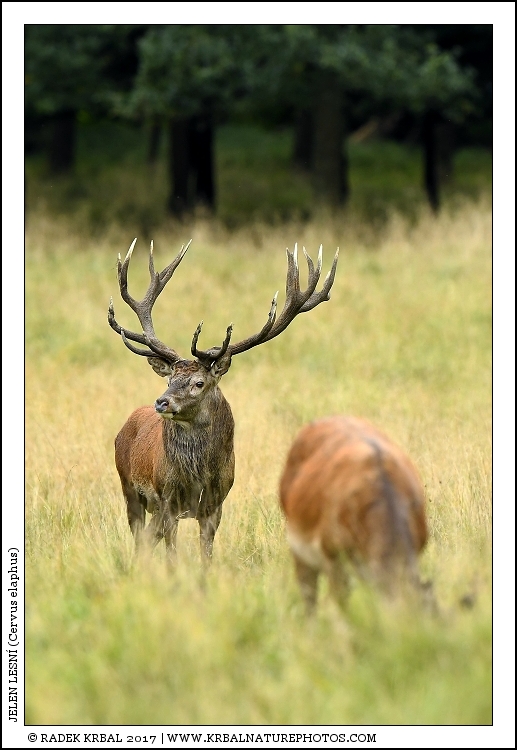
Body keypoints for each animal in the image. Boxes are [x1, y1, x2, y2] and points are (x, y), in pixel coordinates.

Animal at [108, 238, 339, 567]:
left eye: (199, 383)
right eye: (169, 380)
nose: (162, 402)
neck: (198, 477)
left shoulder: (216, 503)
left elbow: (206, 555)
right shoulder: (167, 498)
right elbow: (172, 554)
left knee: (148, 539)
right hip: (129, 487)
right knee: (141, 539)